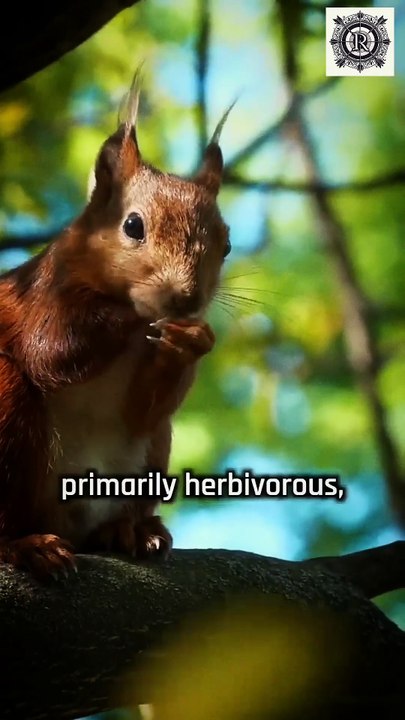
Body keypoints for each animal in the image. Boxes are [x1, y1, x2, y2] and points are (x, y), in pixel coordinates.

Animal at [0, 73, 232, 580]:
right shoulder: (41, 294)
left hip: (152, 454)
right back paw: (28, 546)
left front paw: (193, 341)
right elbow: (49, 351)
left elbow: (142, 410)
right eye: (132, 225)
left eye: (227, 245)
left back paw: (131, 531)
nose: (187, 300)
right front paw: (143, 314)